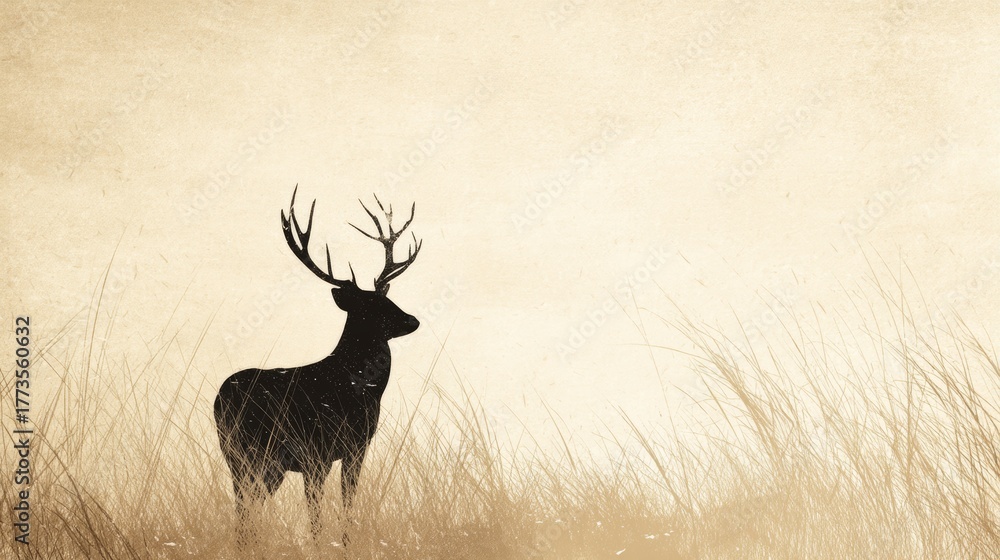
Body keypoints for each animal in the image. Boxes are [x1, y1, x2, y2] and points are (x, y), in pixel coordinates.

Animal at [213, 186, 422, 546]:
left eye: (386, 298)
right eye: (371, 306)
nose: (413, 320)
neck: (356, 388)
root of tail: (218, 395)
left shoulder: (356, 448)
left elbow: (348, 501)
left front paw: (347, 543)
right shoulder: (315, 452)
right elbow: (315, 512)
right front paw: (320, 545)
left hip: (263, 462)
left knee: (250, 505)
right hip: (242, 450)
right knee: (243, 504)